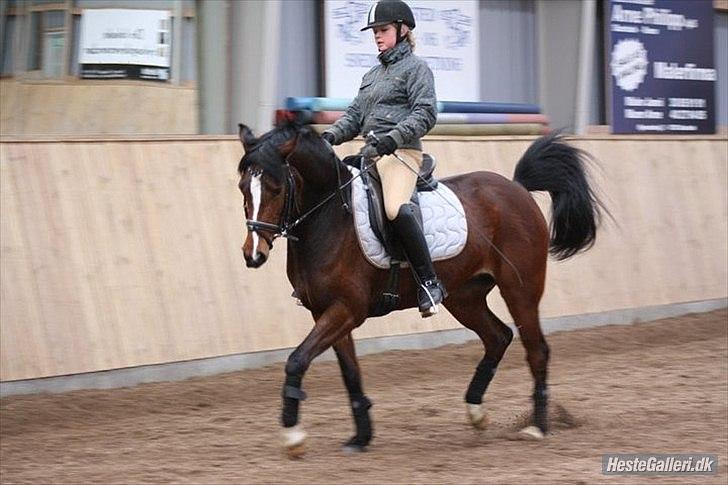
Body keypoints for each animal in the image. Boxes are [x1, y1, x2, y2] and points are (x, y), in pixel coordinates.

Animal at [236, 120, 600, 454]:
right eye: (242, 188)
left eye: (275, 188)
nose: (254, 255)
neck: (328, 217)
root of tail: (516, 188)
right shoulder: (325, 311)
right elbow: (349, 372)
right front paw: (361, 437)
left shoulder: (348, 309)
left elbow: (297, 359)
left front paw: (292, 434)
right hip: (465, 297)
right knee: (498, 336)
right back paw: (476, 412)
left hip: (520, 290)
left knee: (536, 349)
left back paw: (537, 427)